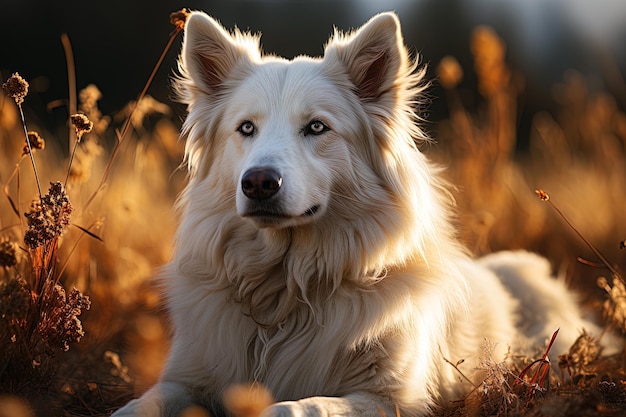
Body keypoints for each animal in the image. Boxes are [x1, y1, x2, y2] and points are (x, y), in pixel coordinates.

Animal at [113, 11, 608, 414]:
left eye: (317, 127)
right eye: (246, 128)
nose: (258, 183)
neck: (286, 292)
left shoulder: (390, 398)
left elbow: (300, 407)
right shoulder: (187, 376)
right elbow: (144, 403)